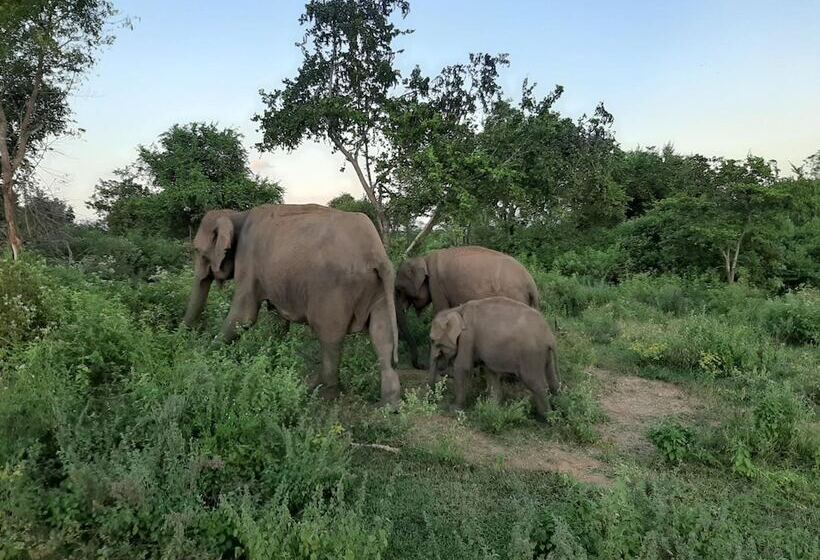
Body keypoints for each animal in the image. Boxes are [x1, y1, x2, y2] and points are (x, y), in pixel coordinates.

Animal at [183, 203, 401, 405]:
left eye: (198, 251)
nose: (184, 338)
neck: (237, 214)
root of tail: (376, 255)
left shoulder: (248, 260)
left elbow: (244, 316)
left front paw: (203, 356)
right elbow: (276, 320)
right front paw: (270, 362)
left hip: (334, 290)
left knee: (330, 336)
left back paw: (317, 393)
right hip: (379, 287)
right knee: (382, 335)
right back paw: (389, 406)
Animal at [395, 246, 540, 368]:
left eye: (400, 289)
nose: (421, 366)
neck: (424, 259)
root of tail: (531, 283)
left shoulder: (436, 284)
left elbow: (441, 311)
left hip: (514, 295)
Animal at [427, 296, 560, 418]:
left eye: (433, 341)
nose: (432, 400)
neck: (457, 310)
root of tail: (549, 337)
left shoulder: (467, 337)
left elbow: (462, 367)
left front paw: (454, 409)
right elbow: (491, 372)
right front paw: (492, 407)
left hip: (531, 355)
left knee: (536, 383)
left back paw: (545, 417)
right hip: (544, 354)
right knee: (552, 380)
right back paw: (558, 405)